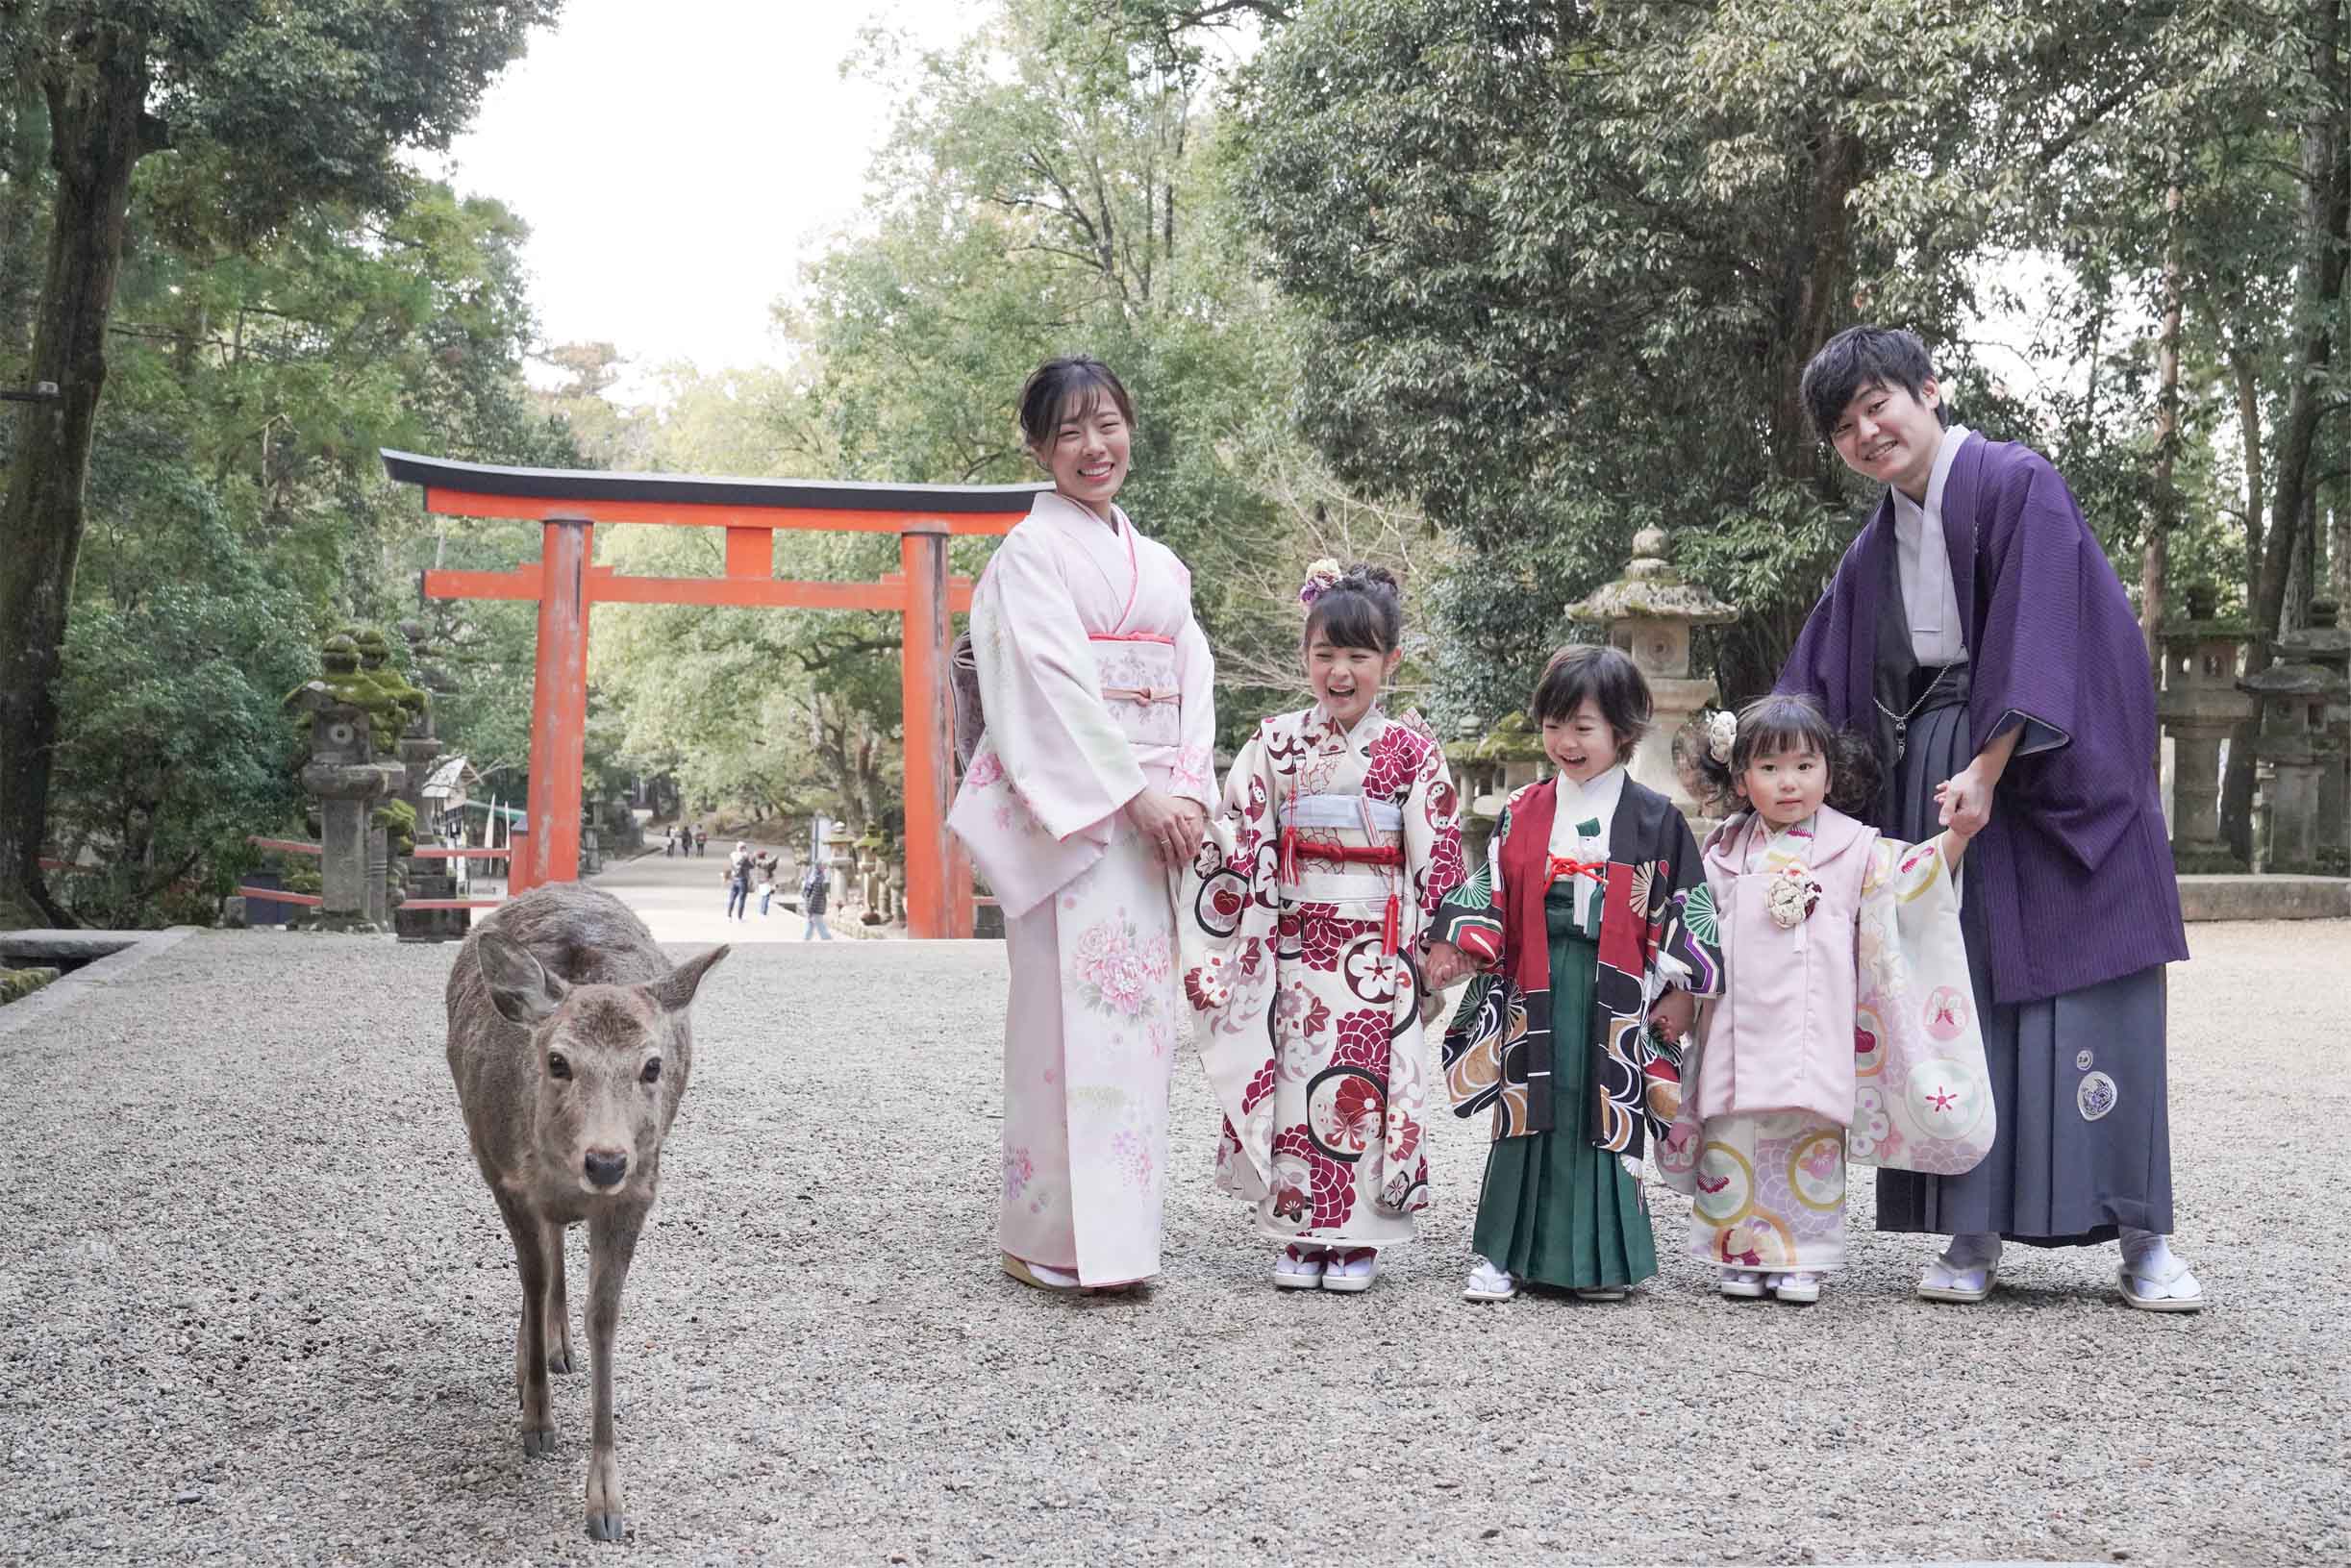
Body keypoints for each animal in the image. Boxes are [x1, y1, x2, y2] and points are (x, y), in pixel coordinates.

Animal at [444, 884, 724, 1542]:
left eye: (652, 1066)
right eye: (557, 1062)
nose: (605, 1160)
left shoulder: (637, 1193)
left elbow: (606, 1317)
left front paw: (606, 1502)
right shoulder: (506, 1177)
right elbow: (535, 1275)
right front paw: (537, 1422)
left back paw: (557, 1348)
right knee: (543, 1262)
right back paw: (534, 1359)